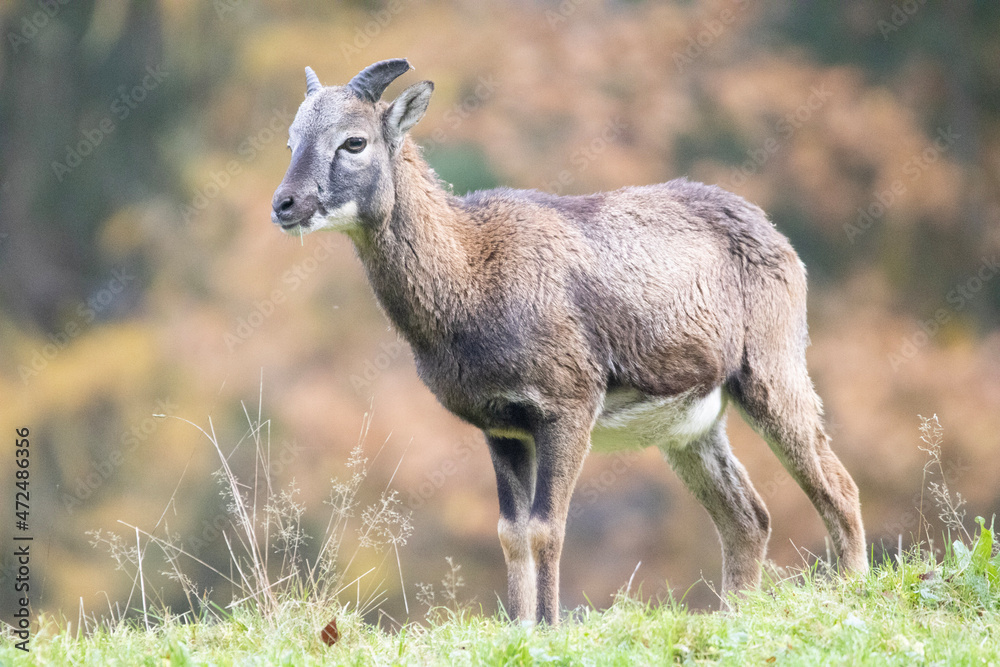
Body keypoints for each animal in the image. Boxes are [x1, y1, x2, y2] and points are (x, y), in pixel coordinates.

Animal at [271, 59, 868, 624]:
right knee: (748, 517)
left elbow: (547, 528)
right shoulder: (501, 425)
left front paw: (551, 626)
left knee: (837, 486)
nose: (285, 204)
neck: (472, 281)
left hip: (772, 368)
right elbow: (511, 532)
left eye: (354, 141)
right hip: (692, 425)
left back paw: (854, 591)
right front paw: (519, 626)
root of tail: (778, 239)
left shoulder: (568, 403)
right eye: (291, 139)